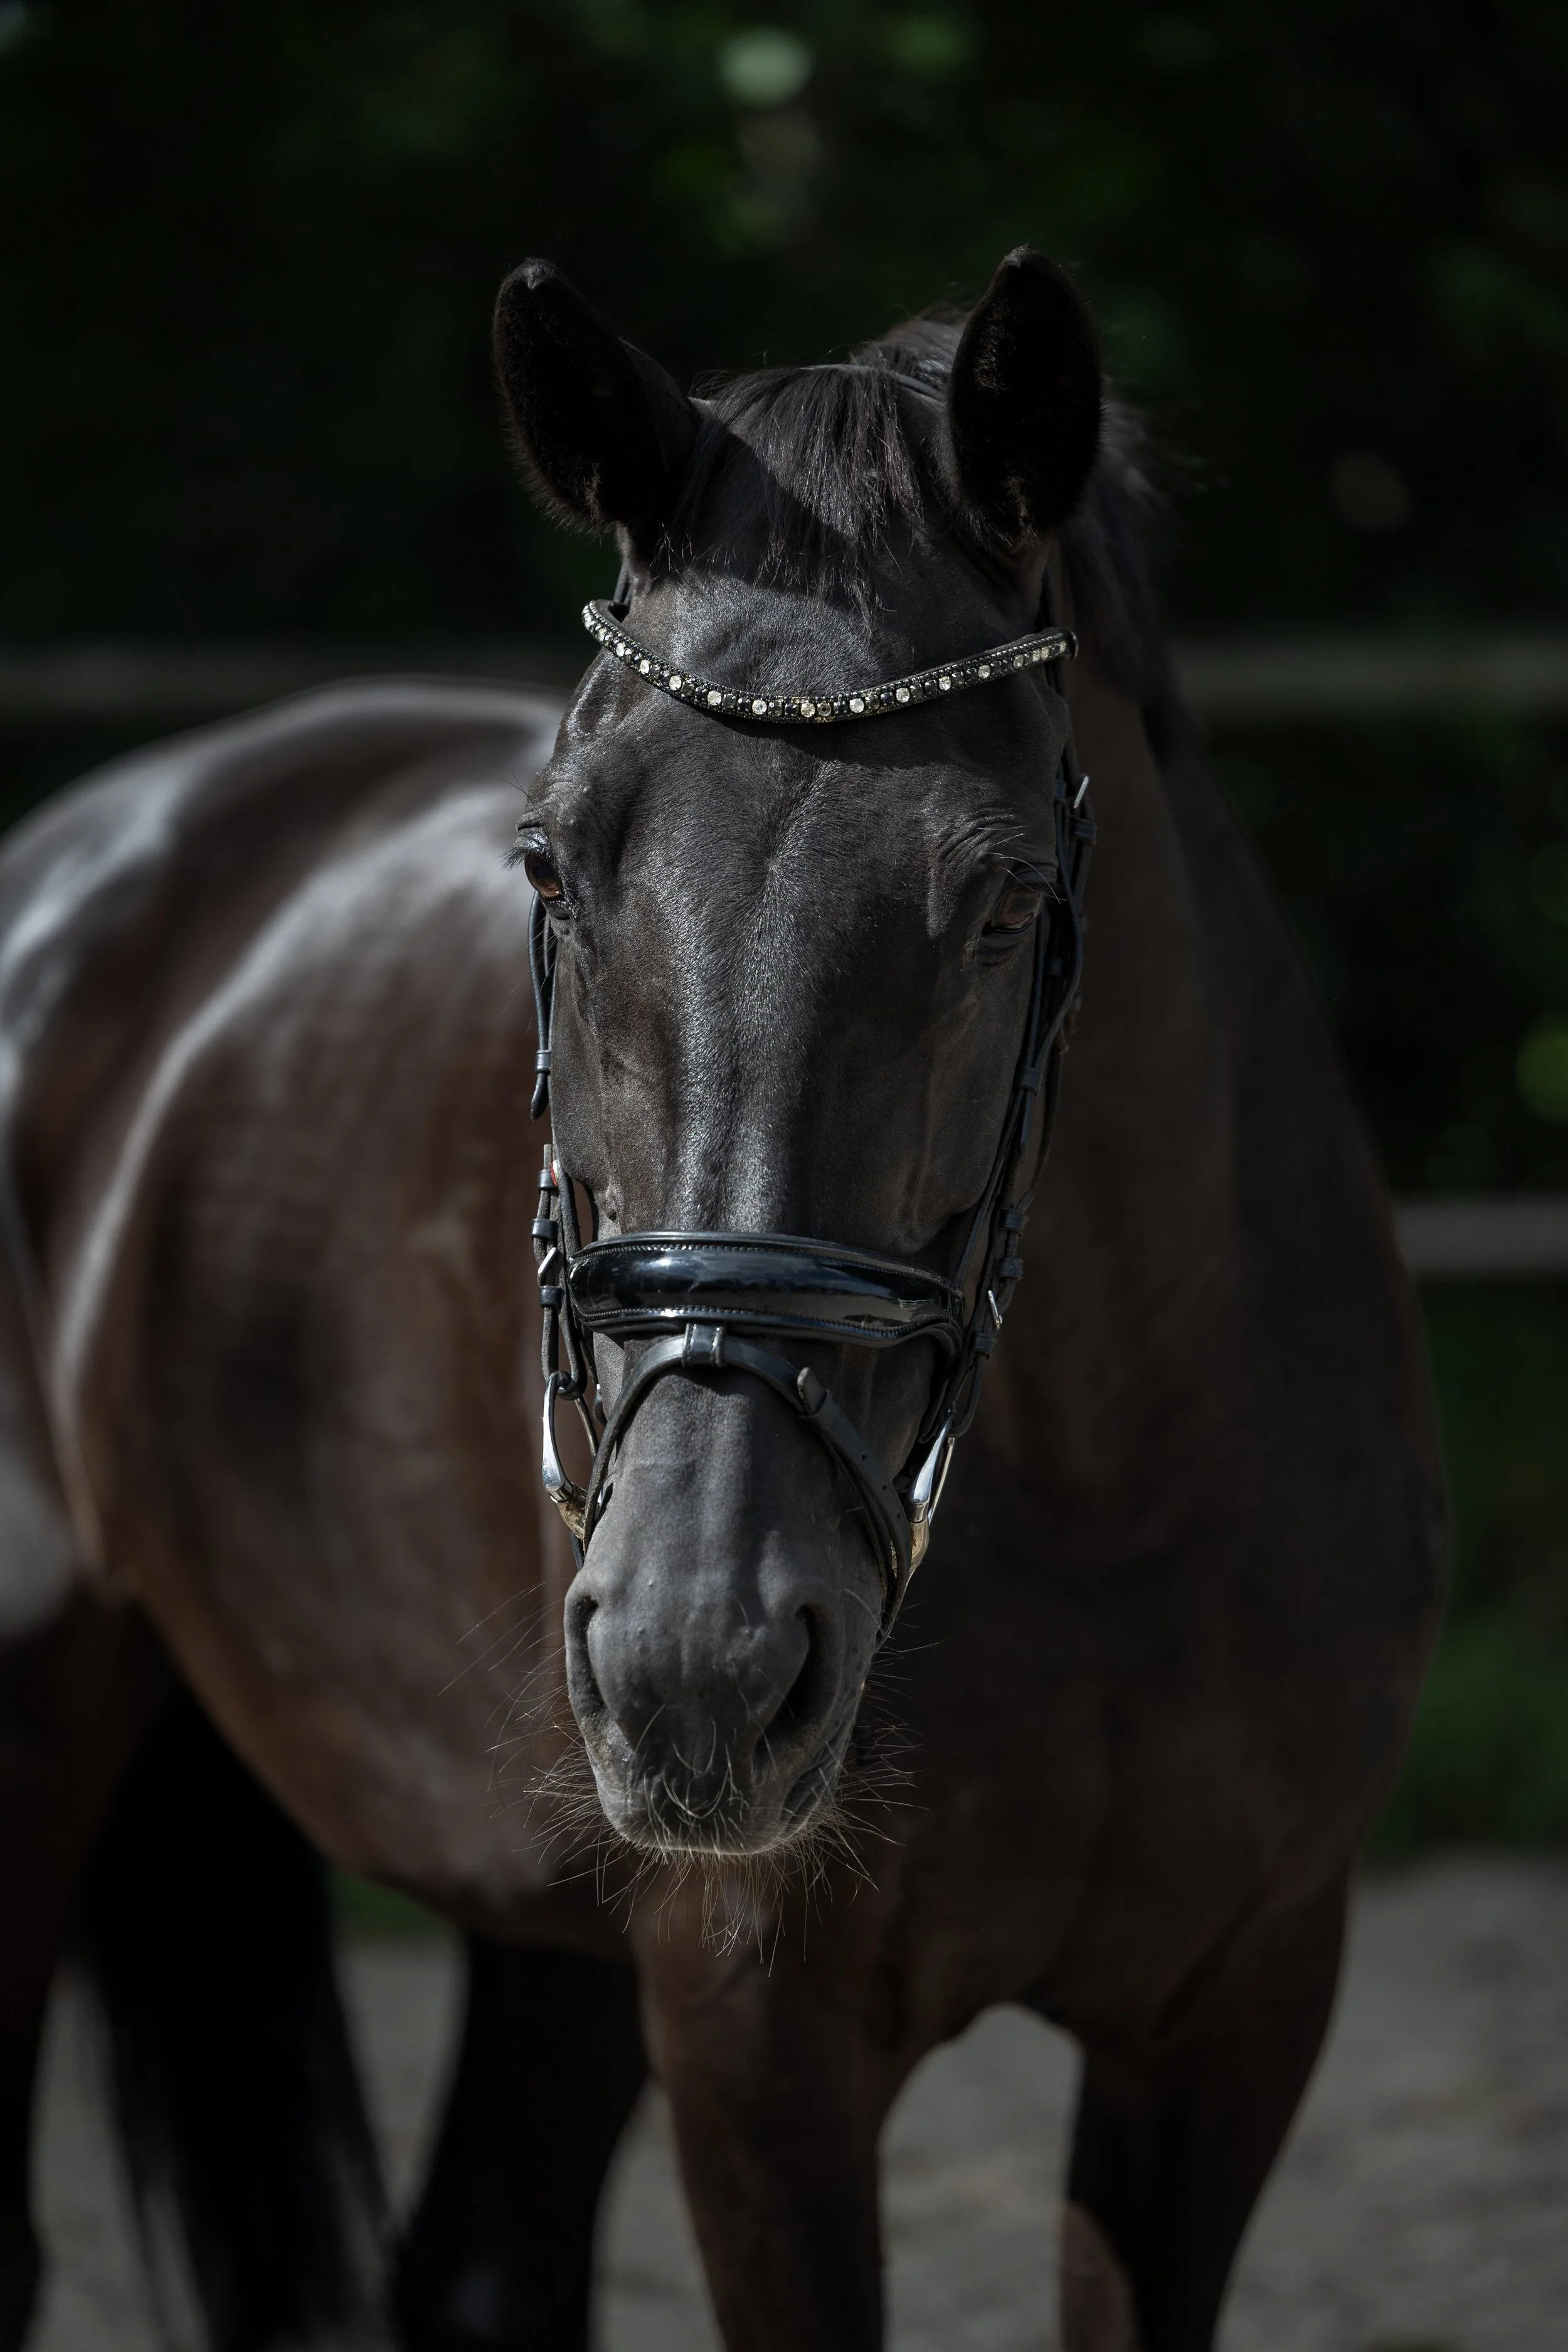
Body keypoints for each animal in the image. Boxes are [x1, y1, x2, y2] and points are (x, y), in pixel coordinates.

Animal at [0, 248, 1443, 2352]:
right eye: (550, 865)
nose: (700, 1657)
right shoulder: (758, 2027)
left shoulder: (1235, 2005)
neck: (1108, 1484)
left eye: (1001, 906)